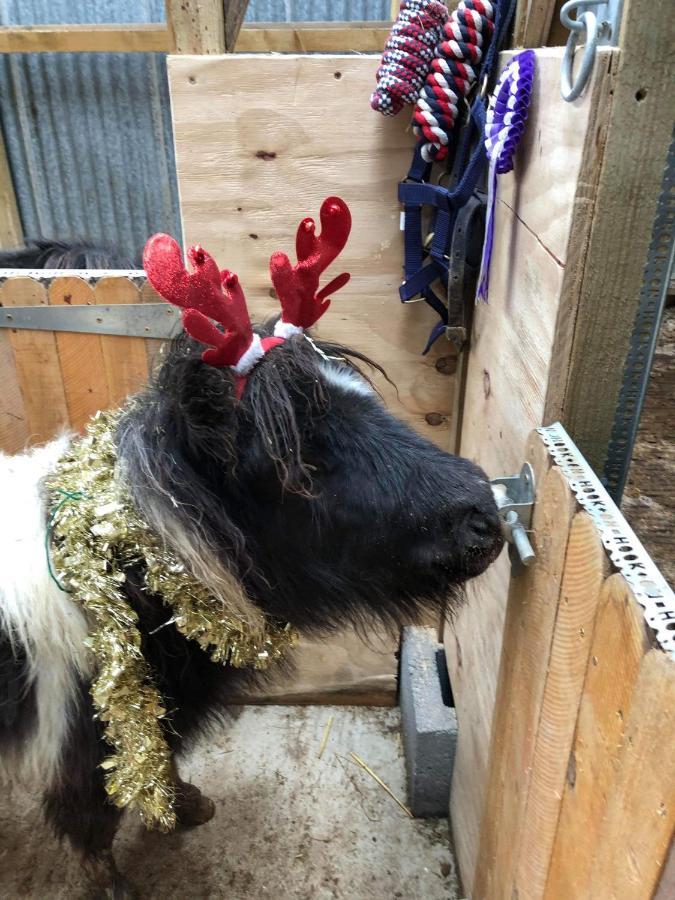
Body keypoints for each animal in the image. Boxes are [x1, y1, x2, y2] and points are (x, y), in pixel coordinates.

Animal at [0, 232, 502, 892]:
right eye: (300, 459)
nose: (485, 518)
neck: (122, 579)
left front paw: (189, 805)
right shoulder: (79, 742)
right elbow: (94, 815)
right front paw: (113, 884)